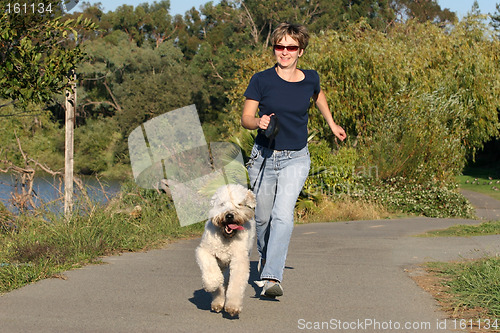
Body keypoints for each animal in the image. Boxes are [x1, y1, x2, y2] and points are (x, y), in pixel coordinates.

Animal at [195, 184, 256, 316]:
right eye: (222, 204)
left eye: (239, 204)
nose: (229, 215)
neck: (226, 237)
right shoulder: (204, 251)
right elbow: (211, 271)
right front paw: (211, 284)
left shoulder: (239, 260)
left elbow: (236, 283)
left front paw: (233, 306)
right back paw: (217, 302)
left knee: (227, 281)